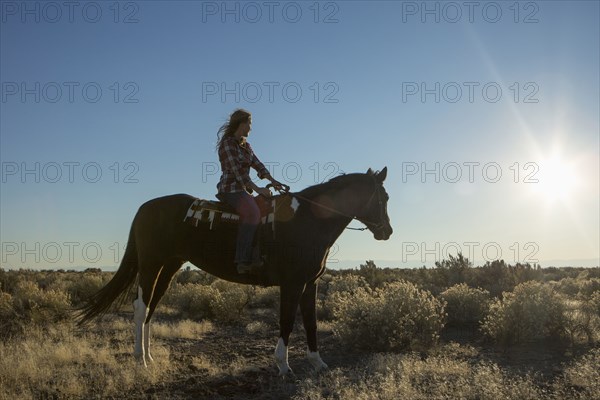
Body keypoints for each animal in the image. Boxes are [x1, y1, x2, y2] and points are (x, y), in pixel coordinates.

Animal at [76, 166, 394, 376]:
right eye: (384, 197)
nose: (387, 232)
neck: (307, 220)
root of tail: (145, 208)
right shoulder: (291, 284)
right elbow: (287, 321)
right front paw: (283, 365)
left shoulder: (310, 283)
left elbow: (311, 323)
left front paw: (318, 363)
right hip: (152, 264)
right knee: (141, 306)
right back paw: (140, 360)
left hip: (169, 266)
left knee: (152, 307)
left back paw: (150, 357)